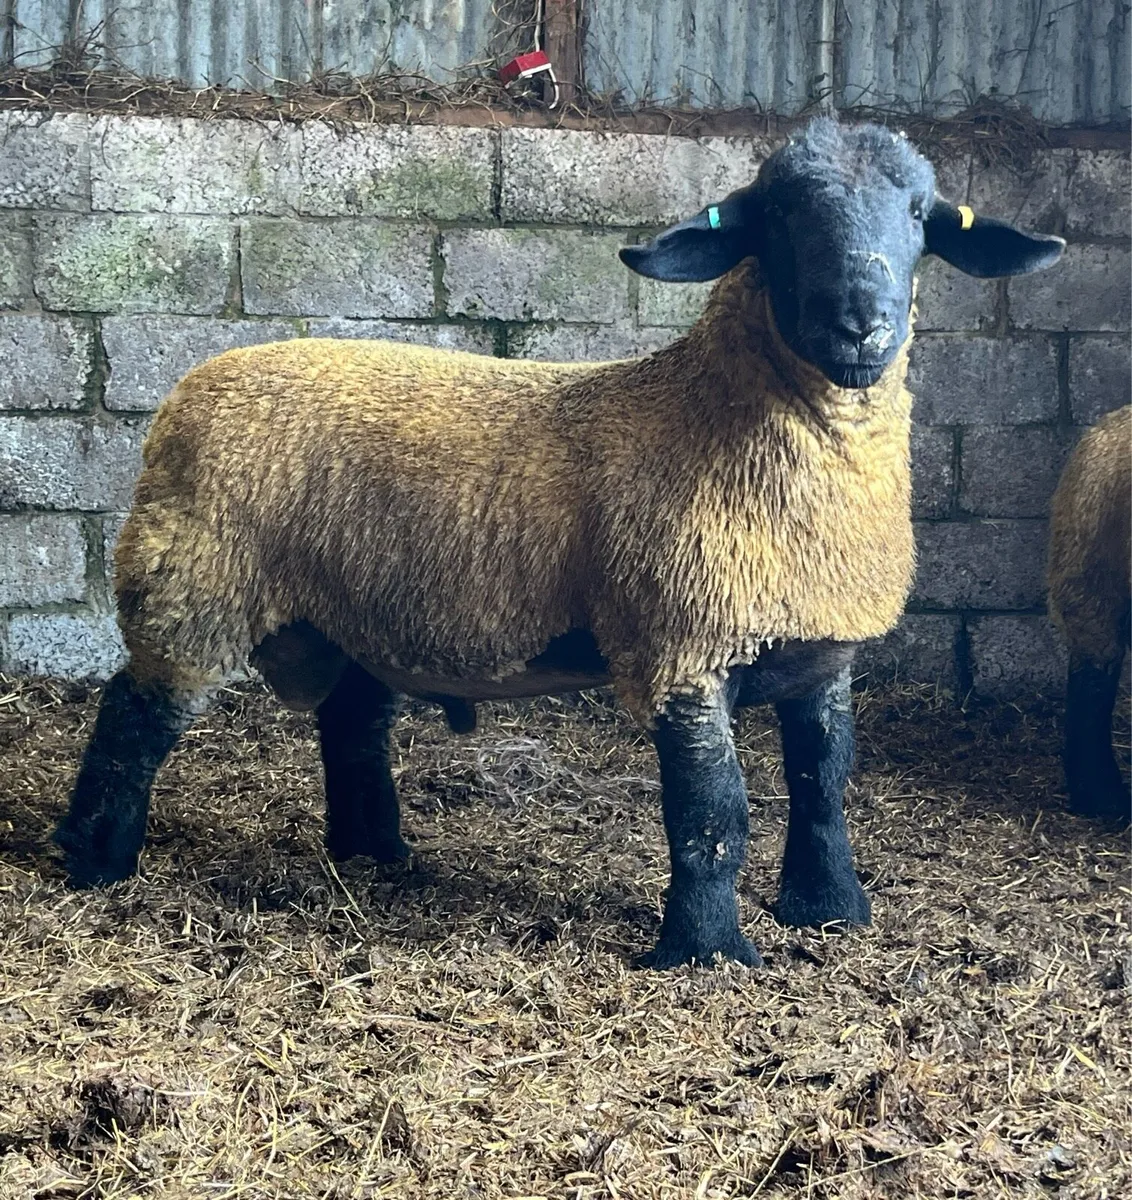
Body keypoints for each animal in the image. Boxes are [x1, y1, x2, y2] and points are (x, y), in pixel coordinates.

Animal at [55, 118, 1064, 969]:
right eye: (778, 214)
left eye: (921, 214)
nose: (861, 322)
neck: (715, 415)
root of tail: (187, 391)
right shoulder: (681, 645)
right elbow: (713, 812)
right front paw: (707, 954)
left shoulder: (822, 653)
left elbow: (824, 785)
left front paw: (830, 913)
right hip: (195, 584)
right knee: (133, 717)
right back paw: (96, 859)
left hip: (349, 610)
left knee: (351, 726)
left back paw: (376, 855)